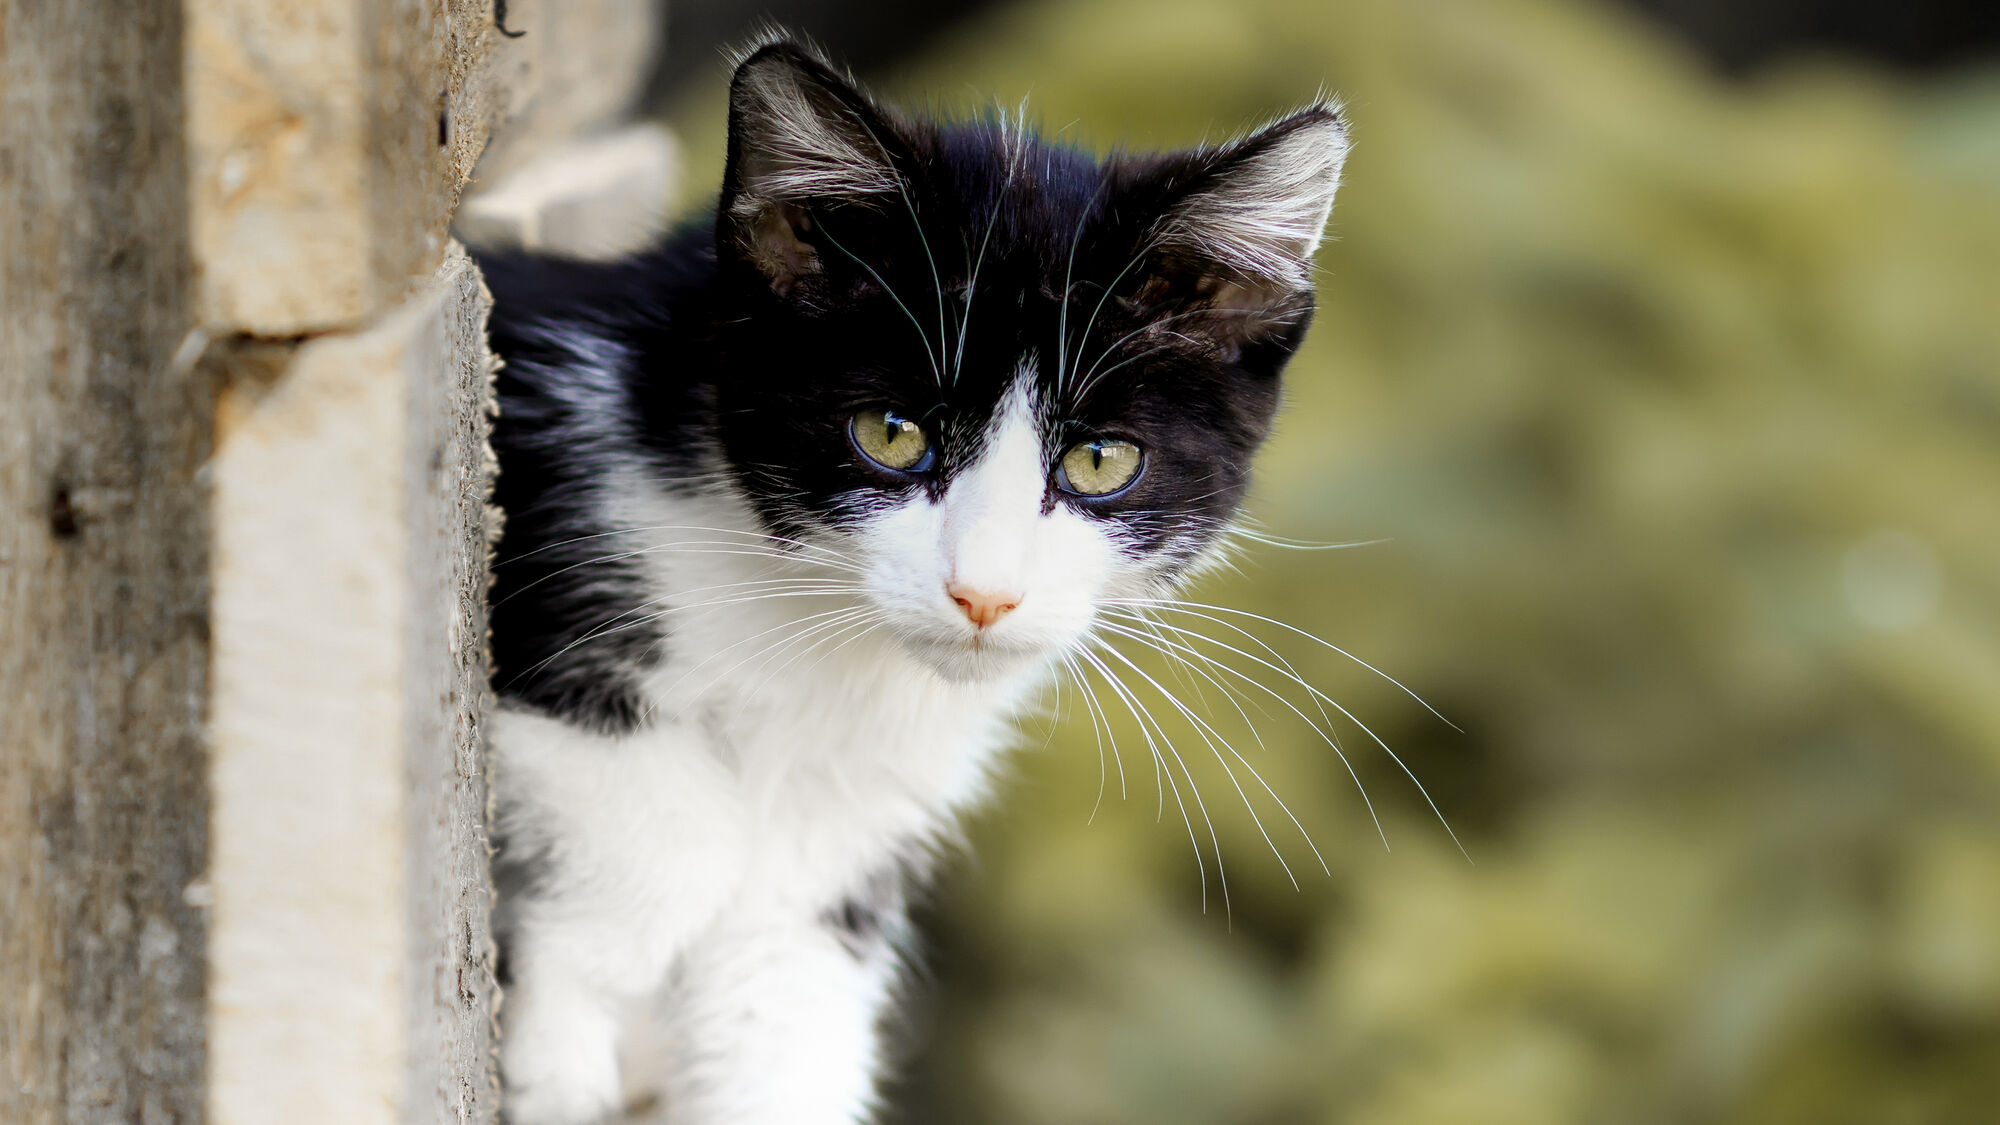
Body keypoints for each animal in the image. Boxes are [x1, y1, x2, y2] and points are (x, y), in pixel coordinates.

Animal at [480, 37, 1344, 1120]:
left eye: (1100, 461)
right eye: (890, 434)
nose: (985, 594)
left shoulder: (859, 812)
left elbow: (787, 991)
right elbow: (664, 820)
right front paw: (562, 1041)